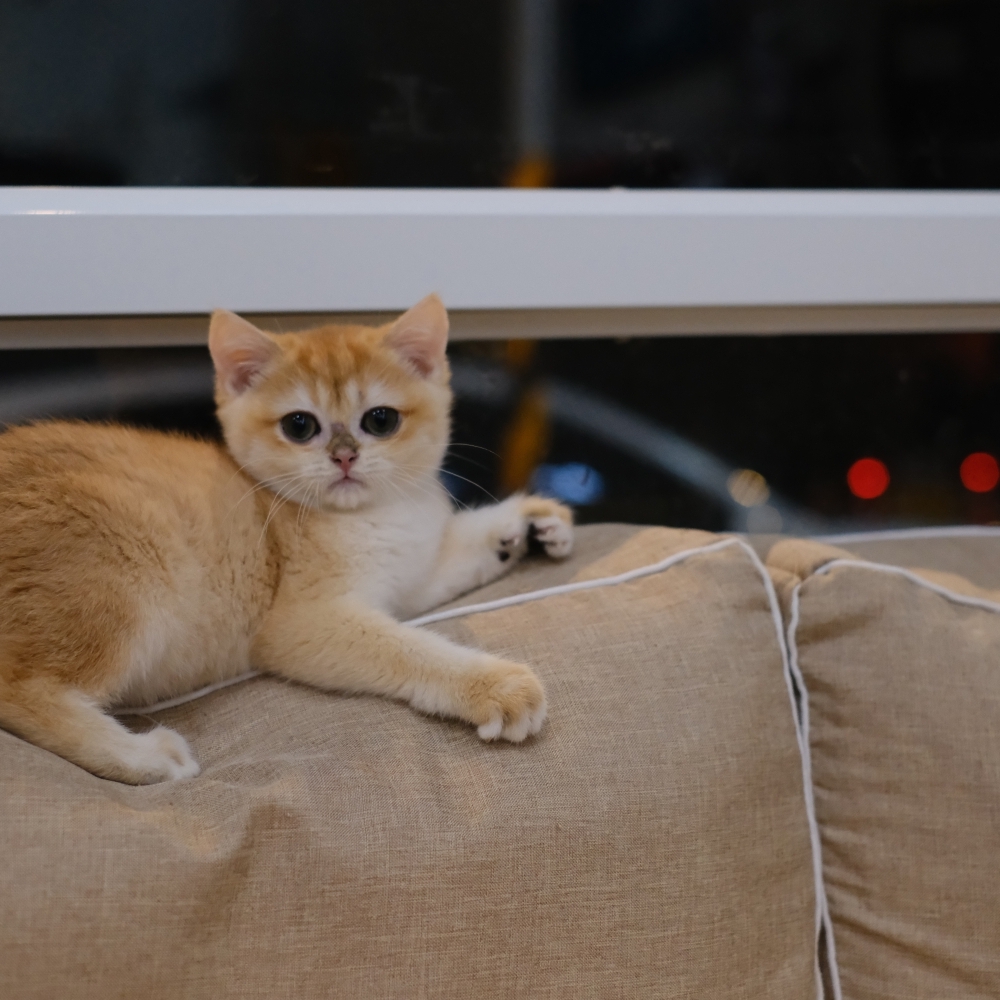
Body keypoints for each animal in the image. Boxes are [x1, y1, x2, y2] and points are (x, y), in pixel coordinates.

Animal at [0, 294, 573, 784]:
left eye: (380, 420)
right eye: (300, 426)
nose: (344, 456)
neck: (371, 516)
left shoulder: (409, 576)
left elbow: (451, 558)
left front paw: (528, 525)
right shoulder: (304, 623)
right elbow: (411, 648)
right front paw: (494, 685)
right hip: (129, 566)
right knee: (20, 692)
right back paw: (145, 757)